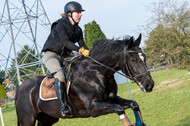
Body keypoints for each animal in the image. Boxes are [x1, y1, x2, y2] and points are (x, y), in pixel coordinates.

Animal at [15, 33, 154, 126]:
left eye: (144, 56)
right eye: (133, 60)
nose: (149, 85)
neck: (96, 71)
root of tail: (19, 88)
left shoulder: (111, 98)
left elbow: (133, 104)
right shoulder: (93, 108)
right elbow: (119, 109)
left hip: (47, 118)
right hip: (28, 119)